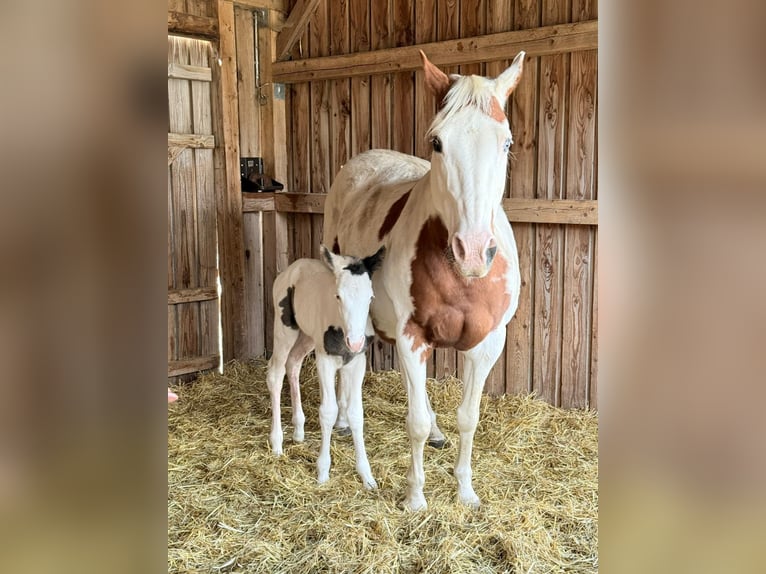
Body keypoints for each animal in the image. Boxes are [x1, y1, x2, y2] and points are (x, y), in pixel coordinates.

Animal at [266, 245, 385, 489]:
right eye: (338, 296)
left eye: (370, 297)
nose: (355, 342)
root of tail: (291, 269)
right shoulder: (325, 360)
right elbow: (329, 411)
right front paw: (322, 471)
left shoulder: (357, 362)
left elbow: (356, 413)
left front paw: (366, 475)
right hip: (285, 330)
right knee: (275, 374)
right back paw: (277, 444)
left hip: (307, 337)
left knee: (293, 364)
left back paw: (298, 430)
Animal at [323, 50, 525, 510]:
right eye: (437, 142)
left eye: (506, 142)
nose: (474, 251)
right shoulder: (412, 334)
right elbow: (412, 420)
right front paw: (415, 497)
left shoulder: (488, 343)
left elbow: (468, 418)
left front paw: (465, 491)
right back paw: (342, 420)